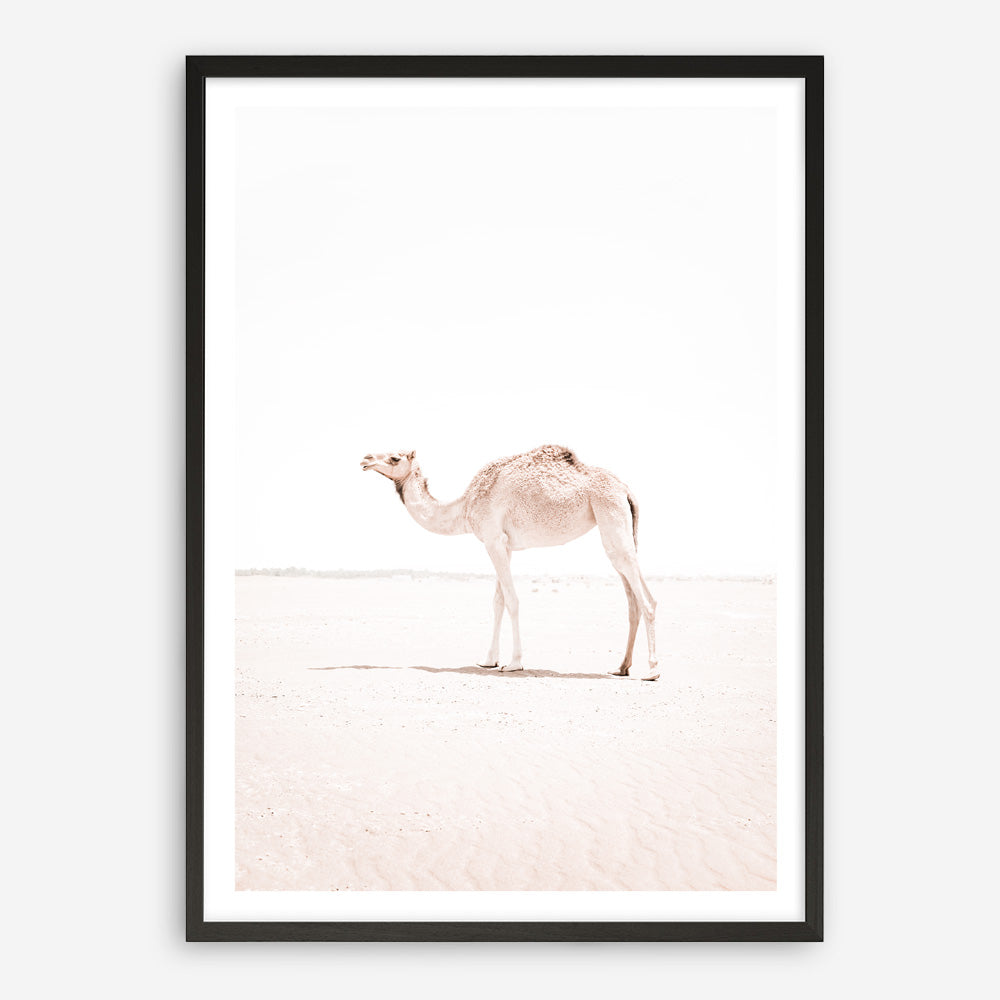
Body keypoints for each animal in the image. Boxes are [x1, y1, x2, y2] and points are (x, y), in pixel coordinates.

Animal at [360, 444, 659, 681]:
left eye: (395, 458)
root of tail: (625, 489)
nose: (365, 458)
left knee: (646, 600)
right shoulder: (504, 545)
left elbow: (512, 600)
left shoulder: (493, 540)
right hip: (619, 526)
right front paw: (488, 660)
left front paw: (514, 663)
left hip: (610, 514)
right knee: (633, 598)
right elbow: (498, 601)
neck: (465, 506)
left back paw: (652, 670)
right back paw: (621, 667)